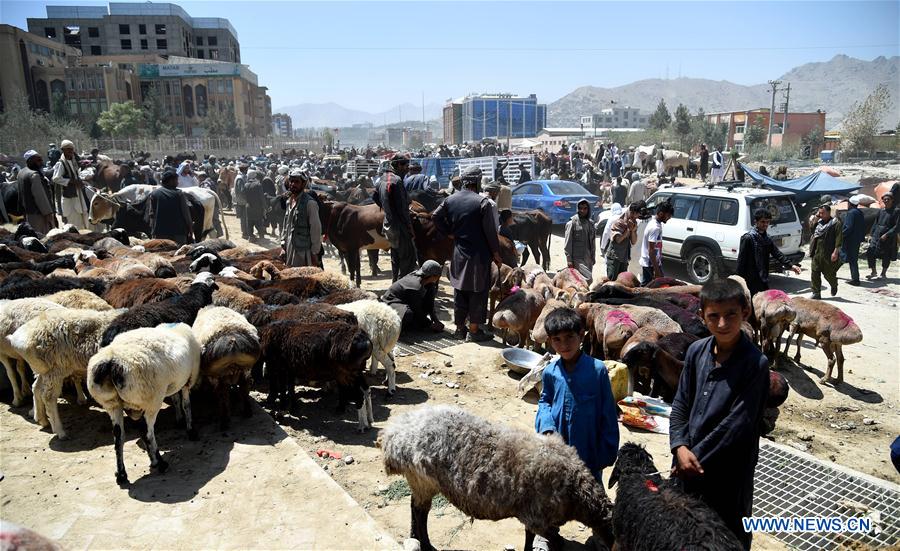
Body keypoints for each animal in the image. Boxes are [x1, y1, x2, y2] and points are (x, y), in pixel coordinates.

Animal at [8, 306, 122, 440]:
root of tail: (17, 338)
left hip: (46, 370)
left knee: (36, 387)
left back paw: (42, 419)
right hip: (55, 370)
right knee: (48, 397)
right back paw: (60, 431)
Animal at [87, 322, 200, 486]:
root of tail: (111, 361)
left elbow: (176, 400)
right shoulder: (187, 381)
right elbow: (186, 406)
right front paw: (191, 430)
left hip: (112, 404)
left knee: (118, 437)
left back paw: (122, 475)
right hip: (152, 400)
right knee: (148, 433)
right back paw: (160, 463)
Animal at [376, 404, 616, 551]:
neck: (576, 494)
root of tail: (393, 435)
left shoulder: (534, 518)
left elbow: (531, 538)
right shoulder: (537, 518)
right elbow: (551, 542)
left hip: (418, 481)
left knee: (414, 506)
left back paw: (414, 536)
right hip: (422, 479)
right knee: (420, 511)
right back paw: (425, 543)